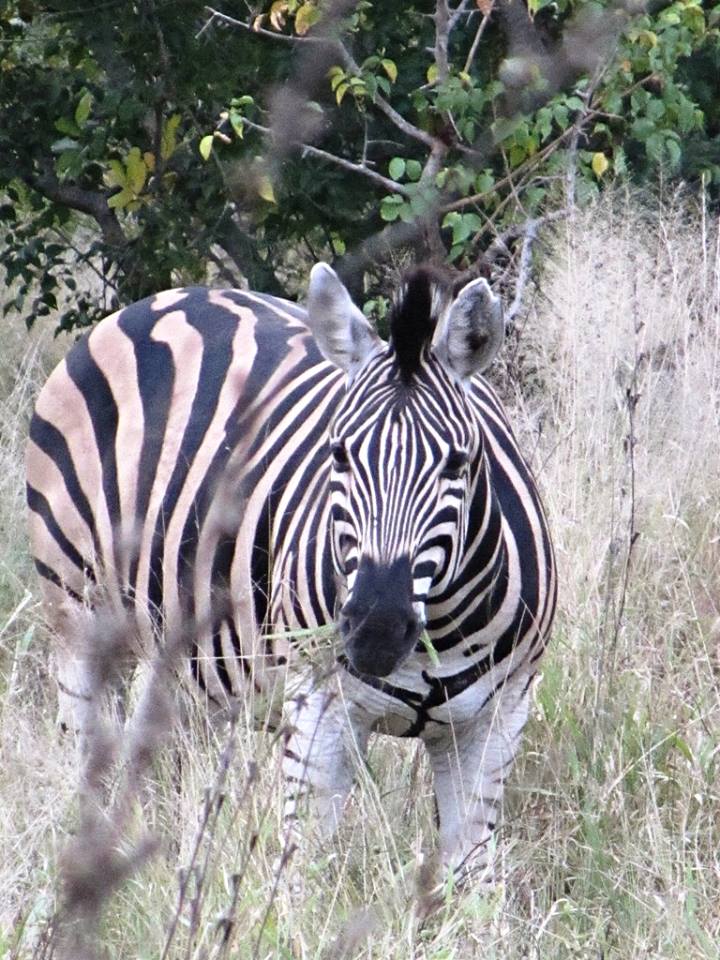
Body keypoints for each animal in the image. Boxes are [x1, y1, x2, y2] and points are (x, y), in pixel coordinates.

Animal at [26, 263, 556, 884]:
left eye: (457, 462)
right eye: (339, 454)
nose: (375, 630)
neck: (437, 634)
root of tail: (163, 299)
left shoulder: (497, 720)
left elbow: (469, 875)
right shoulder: (319, 711)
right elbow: (305, 873)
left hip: (183, 649)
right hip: (78, 612)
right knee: (90, 759)